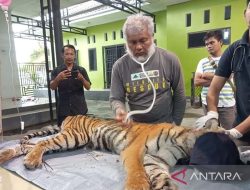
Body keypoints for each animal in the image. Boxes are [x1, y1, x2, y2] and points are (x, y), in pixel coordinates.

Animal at [0, 114, 224, 190]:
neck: (183, 145)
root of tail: (71, 115)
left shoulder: (156, 159)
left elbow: (160, 175)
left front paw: (165, 186)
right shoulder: (135, 151)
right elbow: (137, 173)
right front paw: (137, 187)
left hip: (74, 141)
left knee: (26, 145)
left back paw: (7, 155)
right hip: (73, 136)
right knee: (41, 143)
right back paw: (30, 160)